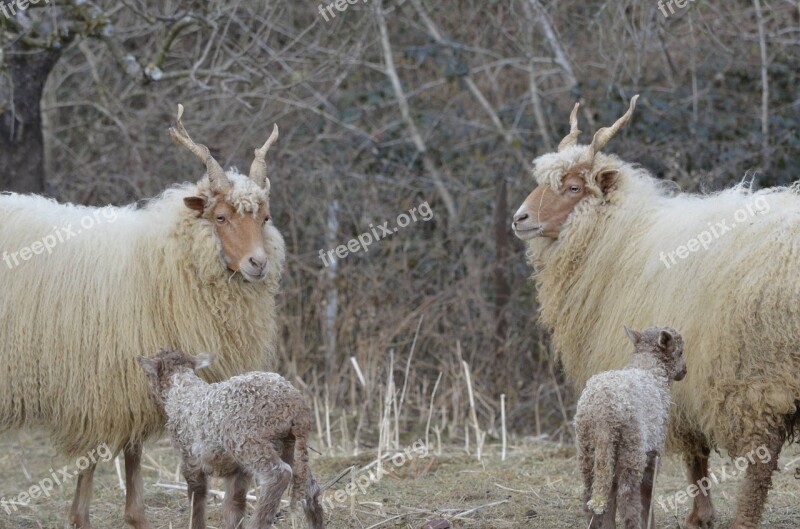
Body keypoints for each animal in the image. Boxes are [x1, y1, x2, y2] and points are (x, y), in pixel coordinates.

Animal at [0, 104, 286, 528]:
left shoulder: (132, 384)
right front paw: (81, 516)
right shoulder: (99, 386)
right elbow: (93, 459)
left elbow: (133, 453)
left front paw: (134, 514)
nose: (258, 264)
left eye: (264, 218)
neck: (160, 259)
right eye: (219, 217)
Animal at [138, 346, 324, 528]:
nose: (148, 396)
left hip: (248, 440)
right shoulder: (237, 469)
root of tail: (296, 404)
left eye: (148, 375)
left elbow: (196, 498)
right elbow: (234, 504)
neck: (182, 390)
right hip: (289, 445)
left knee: (280, 474)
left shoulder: (189, 457)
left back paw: (257, 524)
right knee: (310, 486)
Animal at [576, 326, 688, 528]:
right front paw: (650, 522)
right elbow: (648, 492)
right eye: (681, 352)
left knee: (591, 495)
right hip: (631, 445)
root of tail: (603, 412)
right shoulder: (654, 448)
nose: (685, 371)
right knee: (627, 499)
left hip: (588, 445)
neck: (649, 368)